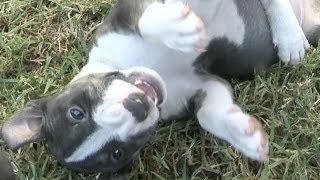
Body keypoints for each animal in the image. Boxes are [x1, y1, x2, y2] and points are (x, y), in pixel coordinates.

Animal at [0, 0, 320, 174]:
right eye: (117, 153)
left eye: (77, 112)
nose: (139, 106)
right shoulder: (204, 85)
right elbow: (209, 115)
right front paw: (245, 135)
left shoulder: (126, 15)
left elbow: (149, 20)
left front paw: (178, 28)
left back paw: (289, 37)